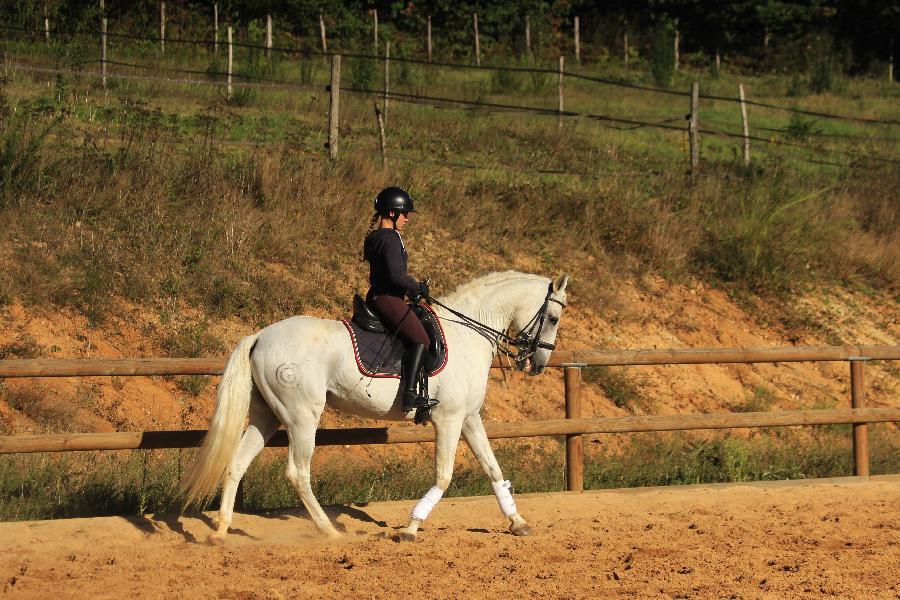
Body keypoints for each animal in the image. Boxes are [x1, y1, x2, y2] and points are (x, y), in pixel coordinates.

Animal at [179, 272, 568, 544]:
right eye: (553, 319)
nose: (537, 365)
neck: (468, 333)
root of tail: (260, 336)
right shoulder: (449, 419)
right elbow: (444, 475)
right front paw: (410, 527)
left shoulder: (469, 418)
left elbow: (493, 469)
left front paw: (518, 523)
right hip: (302, 418)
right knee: (297, 472)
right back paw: (329, 531)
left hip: (267, 416)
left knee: (237, 463)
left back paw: (221, 531)